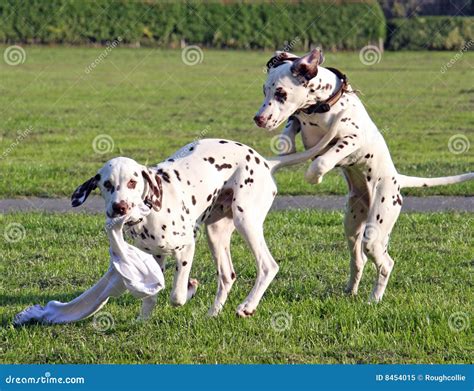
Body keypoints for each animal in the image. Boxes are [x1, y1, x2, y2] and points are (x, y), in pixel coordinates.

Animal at [70, 138, 336, 318]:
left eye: (133, 182)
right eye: (107, 184)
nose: (120, 207)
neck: (151, 211)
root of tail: (265, 162)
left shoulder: (187, 247)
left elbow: (176, 296)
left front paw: (189, 289)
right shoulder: (155, 256)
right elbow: (151, 295)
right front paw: (143, 320)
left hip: (246, 222)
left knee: (268, 266)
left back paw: (247, 306)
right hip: (216, 234)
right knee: (227, 276)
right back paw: (213, 314)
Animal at [256, 48, 474, 304]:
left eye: (281, 93)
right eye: (265, 90)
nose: (259, 119)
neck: (321, 107)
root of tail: (397, 179)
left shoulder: (352, 138)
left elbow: (323, 160)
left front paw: (315, 176)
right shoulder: (299, 121)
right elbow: (290, 129)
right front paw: (286, 144)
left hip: (376, 232)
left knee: (386, 263)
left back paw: (375, 299)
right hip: (352, 227)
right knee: (358, 260)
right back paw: (351, 290)